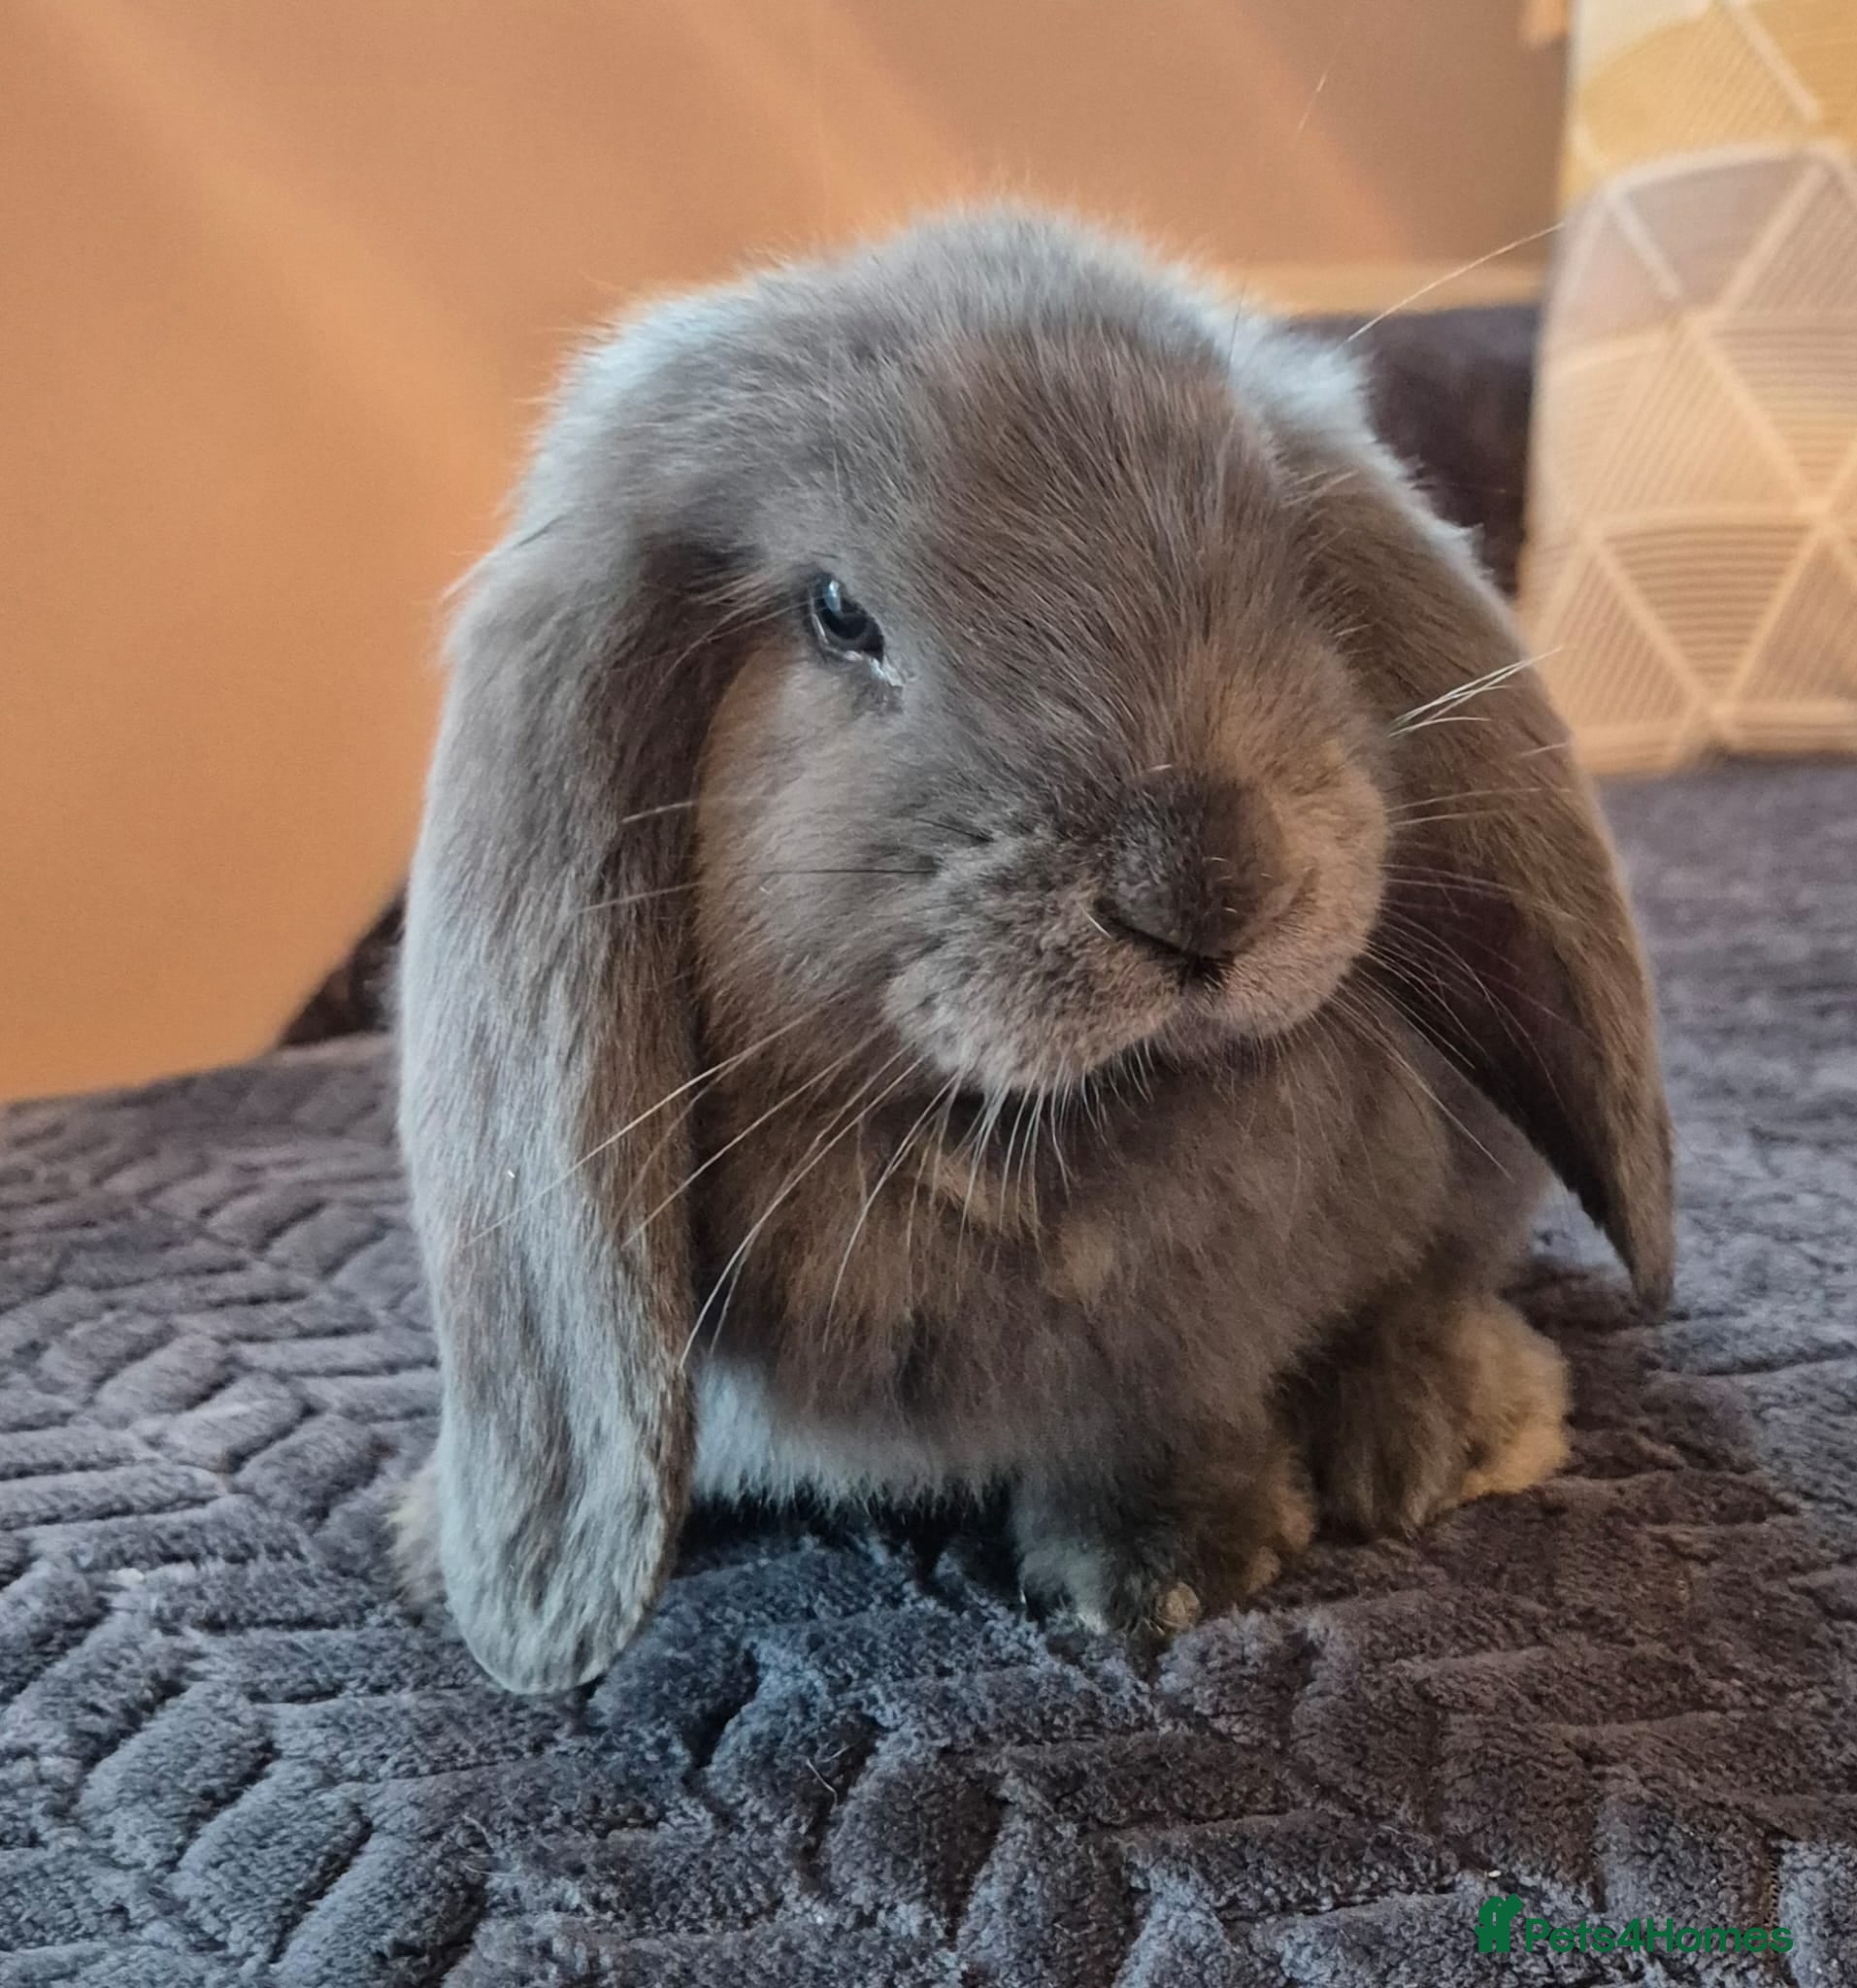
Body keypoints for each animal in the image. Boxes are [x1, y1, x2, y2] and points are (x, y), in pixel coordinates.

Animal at [393, 208, 1673, 1694]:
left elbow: (1159, 1422)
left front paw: (1160, 1575)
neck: (1020, 1137)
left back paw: (1439, 1434)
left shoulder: (1178, 1351)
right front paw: (432, 1542)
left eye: (1286, 561)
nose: (1204, 884)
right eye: (836, 614)